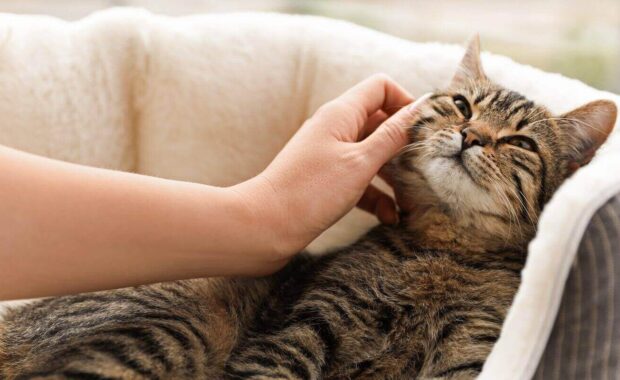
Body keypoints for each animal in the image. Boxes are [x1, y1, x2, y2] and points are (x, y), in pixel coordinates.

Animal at [2, 38, 616, 380]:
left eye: (520, 142)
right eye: (461, 105)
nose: (470, 136)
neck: (444, 251)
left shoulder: (470, 352)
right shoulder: (307, 325)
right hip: (177, 326)